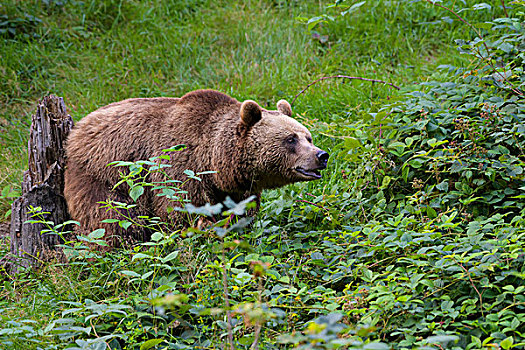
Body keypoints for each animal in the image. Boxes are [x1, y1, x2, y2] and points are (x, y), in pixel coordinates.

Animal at [64, 89, 328, 245]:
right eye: (291, 139)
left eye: (308, 137)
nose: (321, 155)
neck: (214, 159)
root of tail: (77, 129)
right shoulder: (179, 165)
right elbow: (181, 211)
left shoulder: (236, 187)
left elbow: (242, 212)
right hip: (105, 175)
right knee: (112, 220)